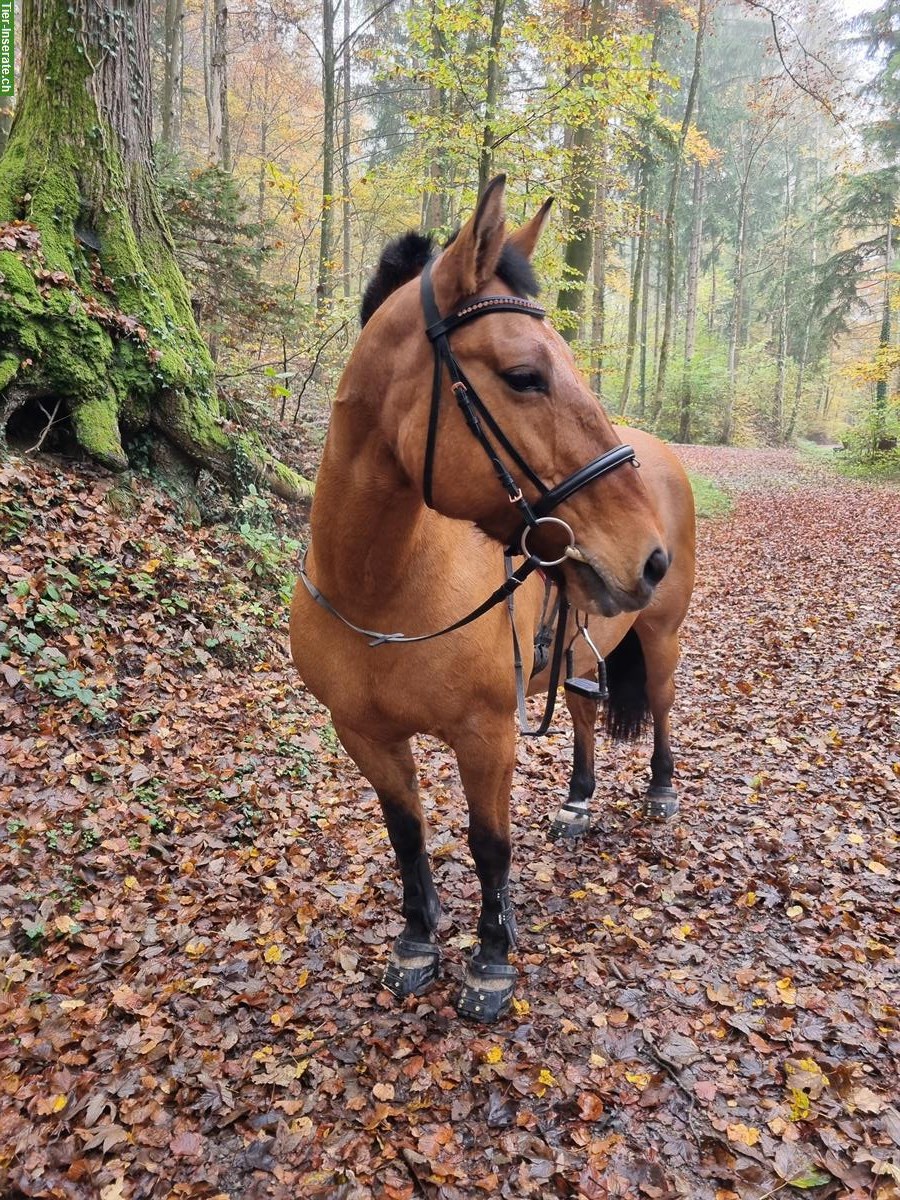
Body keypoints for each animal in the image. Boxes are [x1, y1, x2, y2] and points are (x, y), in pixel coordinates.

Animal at [290, 177, 696, 1022]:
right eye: (523, 375)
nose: (649, 556)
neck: (380, 593)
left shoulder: (486, 736)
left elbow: (488, 846)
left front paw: (491, 958)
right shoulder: (365, 736)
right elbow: (406, 835)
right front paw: (418, 941)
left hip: (662, 640)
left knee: (662, 706)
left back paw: (661, 792)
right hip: (581, 650)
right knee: (583, 717)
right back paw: (578, 803)